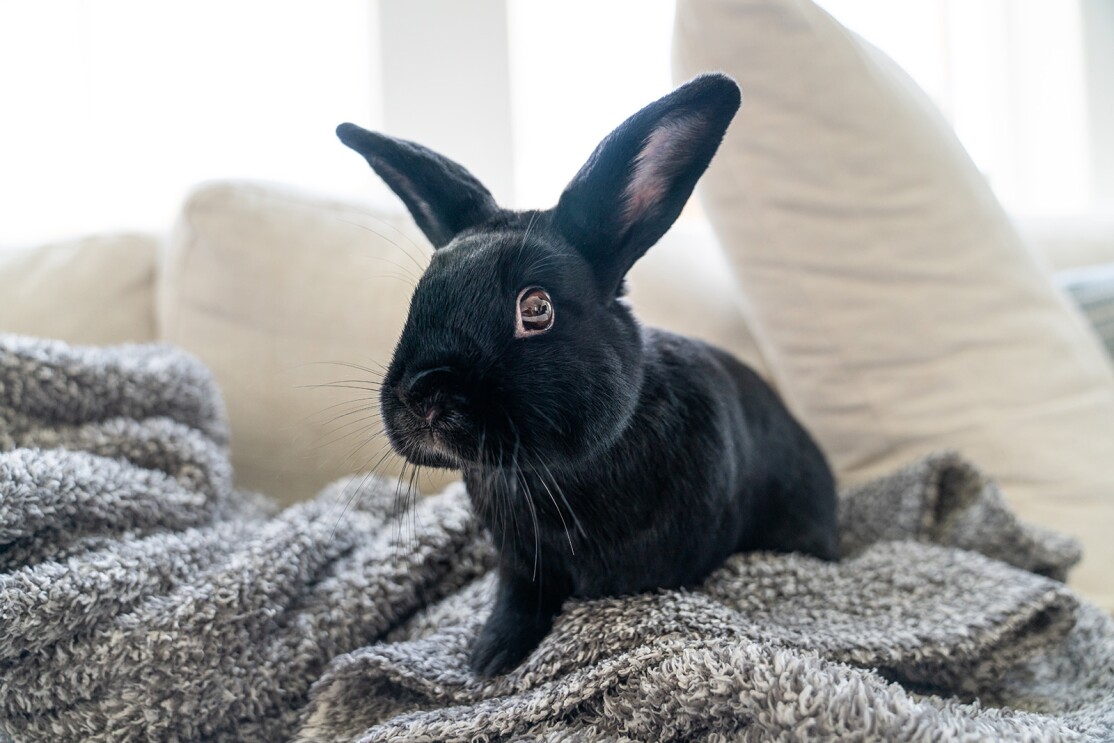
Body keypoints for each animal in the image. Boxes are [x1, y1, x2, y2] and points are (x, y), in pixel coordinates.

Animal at [337, 73, 839, 677]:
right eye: (419, 297)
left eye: (536, 309)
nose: (425, 394)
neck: (548, 473)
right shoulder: (519, 565)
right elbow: (517, 601)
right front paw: (489, 657)